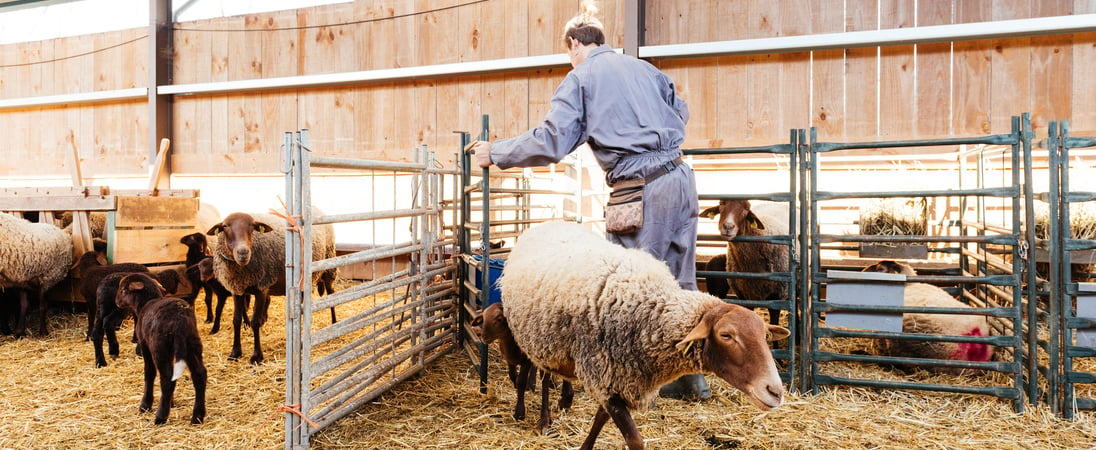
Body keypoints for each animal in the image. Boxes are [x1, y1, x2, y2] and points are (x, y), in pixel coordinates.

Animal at [115, 272, 207, 424]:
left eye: (123, 290)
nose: (116, 302)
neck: (145, 303)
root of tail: (180, 318)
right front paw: (171, 402)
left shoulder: (145, 345)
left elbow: (149, 372)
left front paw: (145, 405)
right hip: (192, 344)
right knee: (199, 374)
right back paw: (197, 417)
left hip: (160, 347)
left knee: (167, 378)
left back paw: (160, 416)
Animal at [469, 302, 574, 433]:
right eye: (483, 318)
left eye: (499, 318)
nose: (483, 337)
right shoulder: (509, 358)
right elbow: (513, 375)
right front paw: (518, 385)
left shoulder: (525, 361)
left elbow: (521, 381)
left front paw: (519, 413)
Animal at [497, 222, 789, 450]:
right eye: (726, 335)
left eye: (764, 336)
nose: (775, 391)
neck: (649, 313)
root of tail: (547, 224)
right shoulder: (604, 373)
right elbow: (635, 440)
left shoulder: (618, 377)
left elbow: (600, 418)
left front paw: (585, 445)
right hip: (534, 336)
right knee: (540, 377)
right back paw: (537, 417)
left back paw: (565, 400)